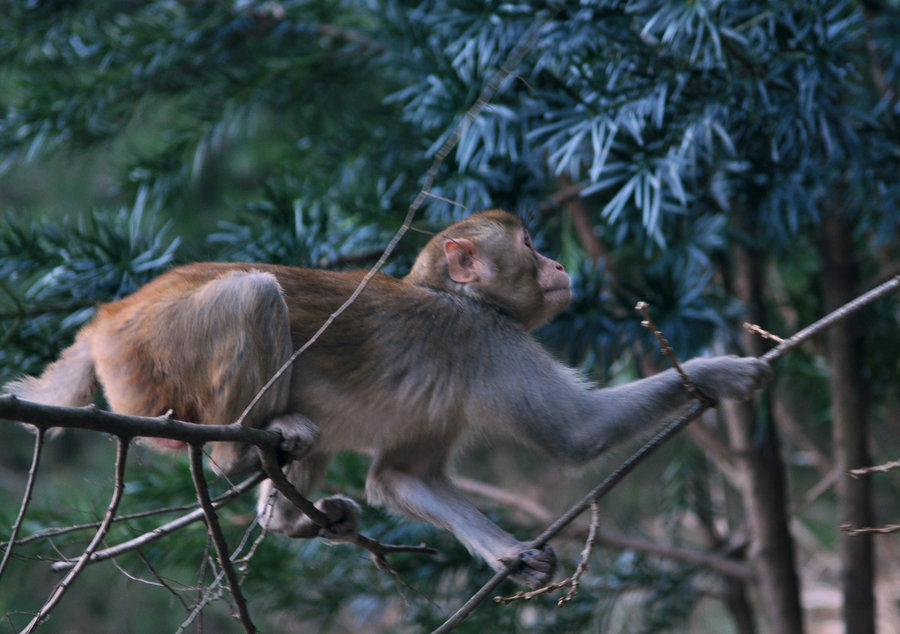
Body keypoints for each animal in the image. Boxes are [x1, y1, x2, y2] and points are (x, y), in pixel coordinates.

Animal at [3, 210, 768, 584]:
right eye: (529, 244)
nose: (556, 263)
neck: (459, 297)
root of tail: (109, 315)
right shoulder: (490, 342)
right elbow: (578, 434)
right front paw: (720, 371)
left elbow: (401, 475)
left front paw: (507, 554)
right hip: (156, 351)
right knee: (255, 294)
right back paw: (236, 458)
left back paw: (291, 514)